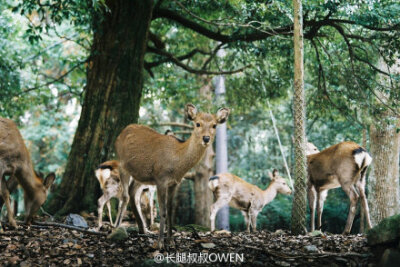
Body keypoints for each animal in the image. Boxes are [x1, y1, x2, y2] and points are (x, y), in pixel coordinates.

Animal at [114, 103, 230, 250]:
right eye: (197, 123)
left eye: (214, 125)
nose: (206, 138)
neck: (177, 165)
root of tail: (121, 133)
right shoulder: (160, 179)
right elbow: (162, 211)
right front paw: (160, 243)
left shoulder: (175, 183)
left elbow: (169, 211)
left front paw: (171, 241)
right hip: (121, 163)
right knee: (125, 195)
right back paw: (116, 228)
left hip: (140, 175)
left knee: (132, 192)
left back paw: (142, 229)